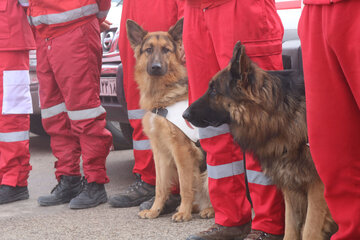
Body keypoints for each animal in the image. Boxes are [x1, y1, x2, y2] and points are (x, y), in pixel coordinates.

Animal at [126, 18, 214, 221]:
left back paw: (208, 210)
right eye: (149, 49)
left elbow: (184, 185)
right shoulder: (160, 151)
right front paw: (155, 210)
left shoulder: (181, 150)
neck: (164, 98)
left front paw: (184, 212)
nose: (156, 67)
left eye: (166, 50)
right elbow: (160, 186)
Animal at [183, 42, 338, 239]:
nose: (184, 114)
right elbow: (291, 227)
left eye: (214, 90)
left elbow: (309, 230)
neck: (280, 114)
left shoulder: (317, 187)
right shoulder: (290, 185)